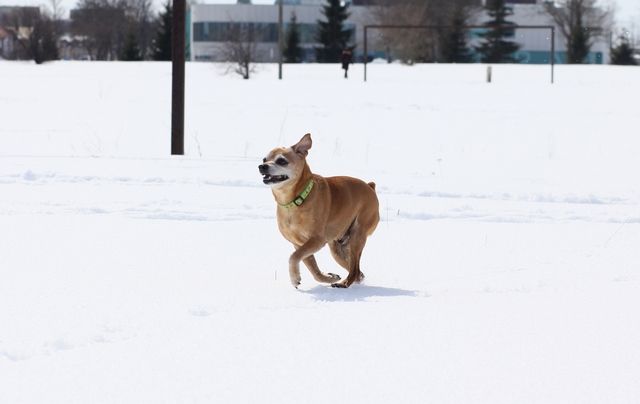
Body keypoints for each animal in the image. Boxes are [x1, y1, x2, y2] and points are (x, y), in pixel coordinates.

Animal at [259, 133, 379, 288]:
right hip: (337, 247)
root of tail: (370, 187)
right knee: (357, 270)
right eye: (264, 159)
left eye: (281, 161)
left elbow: (293, 257)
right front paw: (328, 277)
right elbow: (312, 268)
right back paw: (347, 279)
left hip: (357, 236)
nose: (262, 166)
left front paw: (294, 277)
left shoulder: (316, 240)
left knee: (354, 269)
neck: (295, 201)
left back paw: (344, 283)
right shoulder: (298, 244)